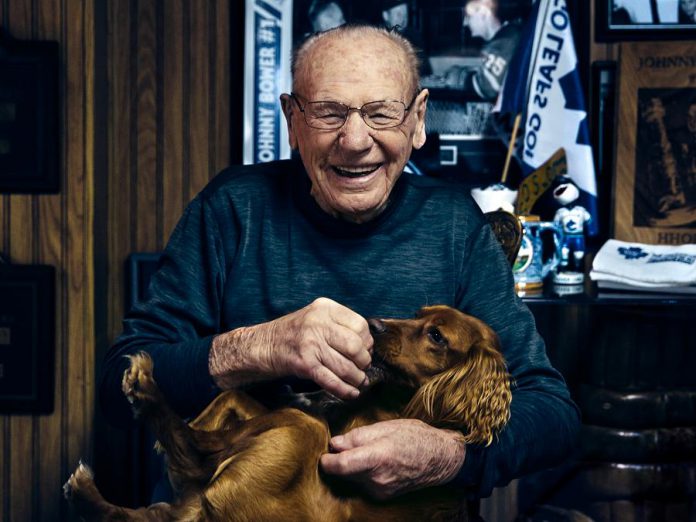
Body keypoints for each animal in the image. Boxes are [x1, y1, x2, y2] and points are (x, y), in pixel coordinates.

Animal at [65, 304, 512, 520]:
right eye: (418, 314)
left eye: (436, 335)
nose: (372, 324)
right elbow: (228, 398)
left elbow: (210, 433)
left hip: (305, 431)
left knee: (191, 451)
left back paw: (146, 391)